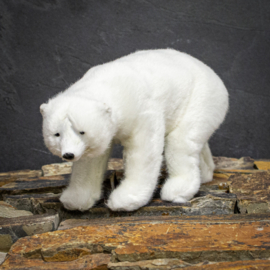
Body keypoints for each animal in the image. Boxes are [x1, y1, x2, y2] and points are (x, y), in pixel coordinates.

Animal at [40, 49, 229, 212]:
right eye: (57, 134)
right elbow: (90, 160)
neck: (109, 84)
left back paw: (178, 190)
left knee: (181, 142)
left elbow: (143, 151)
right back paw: (205, 172)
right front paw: (75, 199)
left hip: (200, 98)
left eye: (82, 131)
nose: (68, 155)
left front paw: (126, 199)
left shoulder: (141, 110)